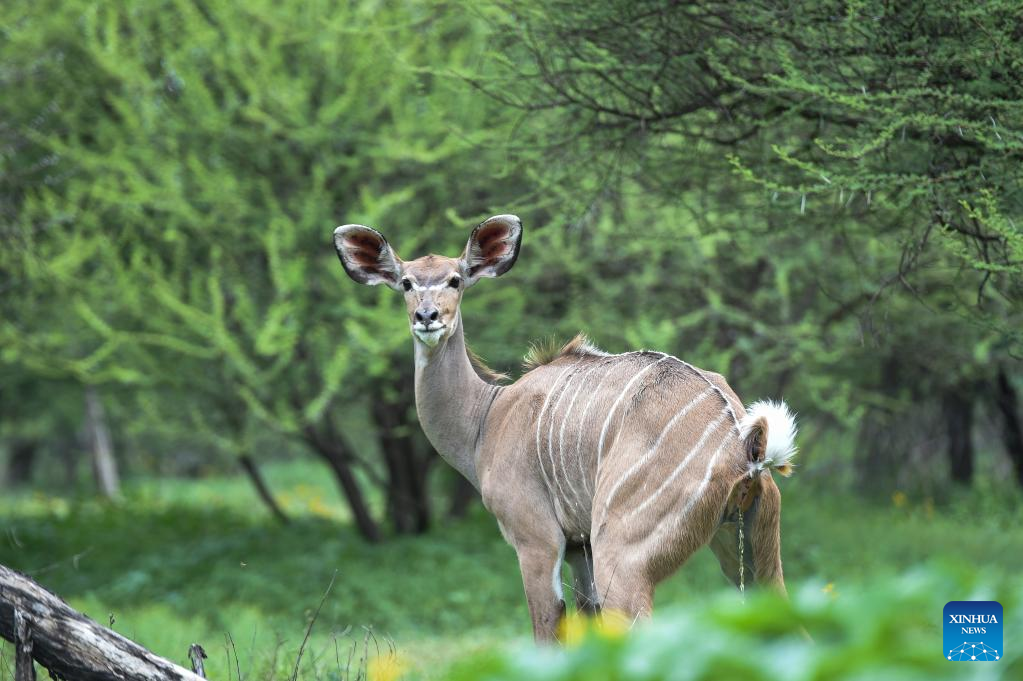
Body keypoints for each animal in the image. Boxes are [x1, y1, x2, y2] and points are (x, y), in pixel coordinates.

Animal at [332, 215, 797, 642]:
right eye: (406, 283)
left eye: (455, 280)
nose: (427, 317)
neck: (488, 418)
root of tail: (747, 445)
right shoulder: (579, 548)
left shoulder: (537, 540)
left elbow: (548, 633)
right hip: (753, 550)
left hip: (623, 559)